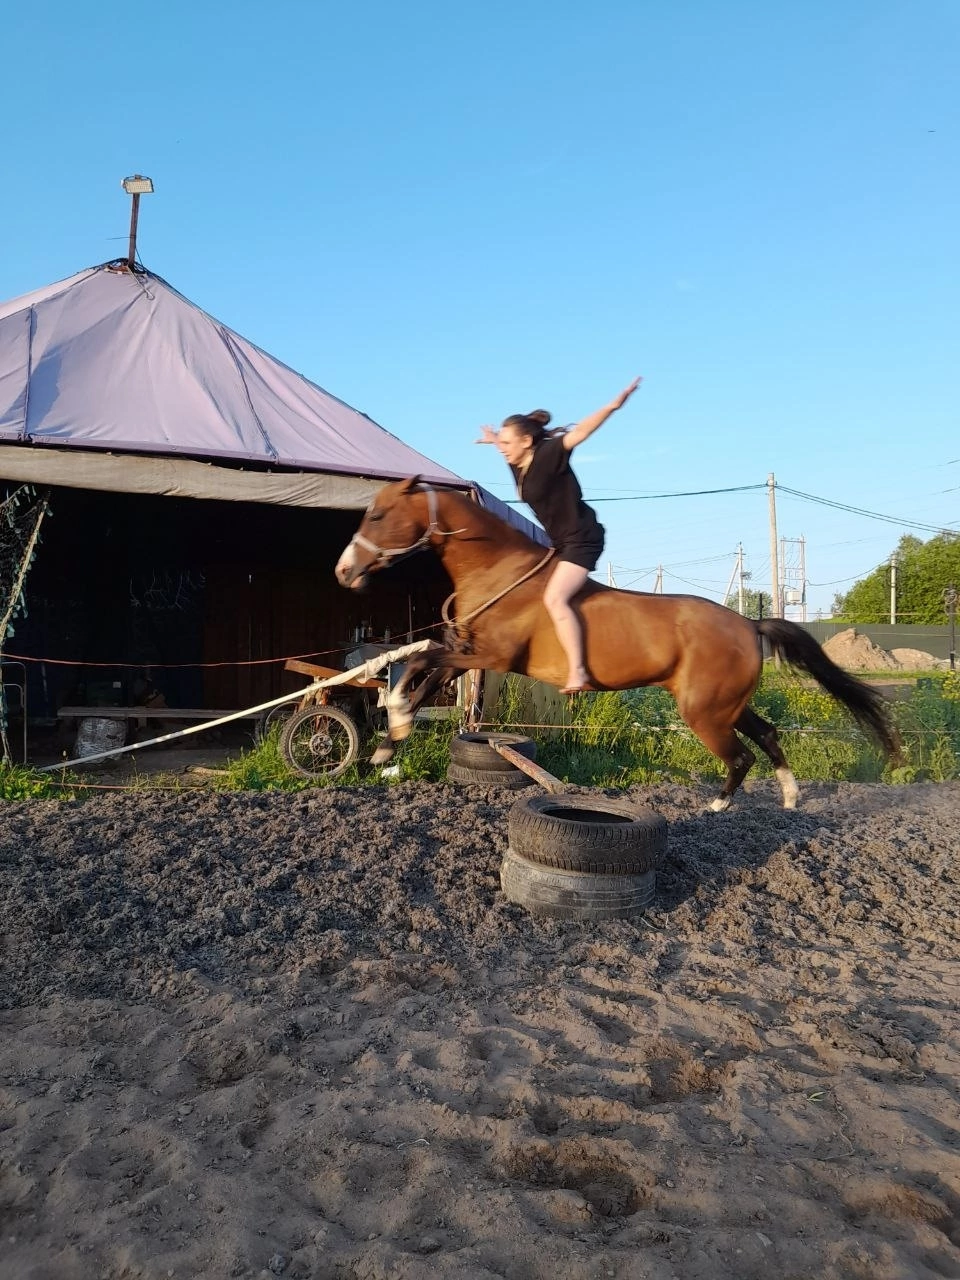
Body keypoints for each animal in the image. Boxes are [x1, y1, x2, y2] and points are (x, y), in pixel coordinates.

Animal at [332, 481, 901, 808]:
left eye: (377, 515)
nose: (343, 571)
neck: (500, 572)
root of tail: (748, 624)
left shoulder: (486, 656)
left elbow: (423, 665)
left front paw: (392, 724)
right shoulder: (466, 655)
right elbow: (421, 675)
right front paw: (389, 741)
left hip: (704, 712)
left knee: (741, 756)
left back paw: (716, 807)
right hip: (725, 705)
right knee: (768, 734)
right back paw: (789, 797)